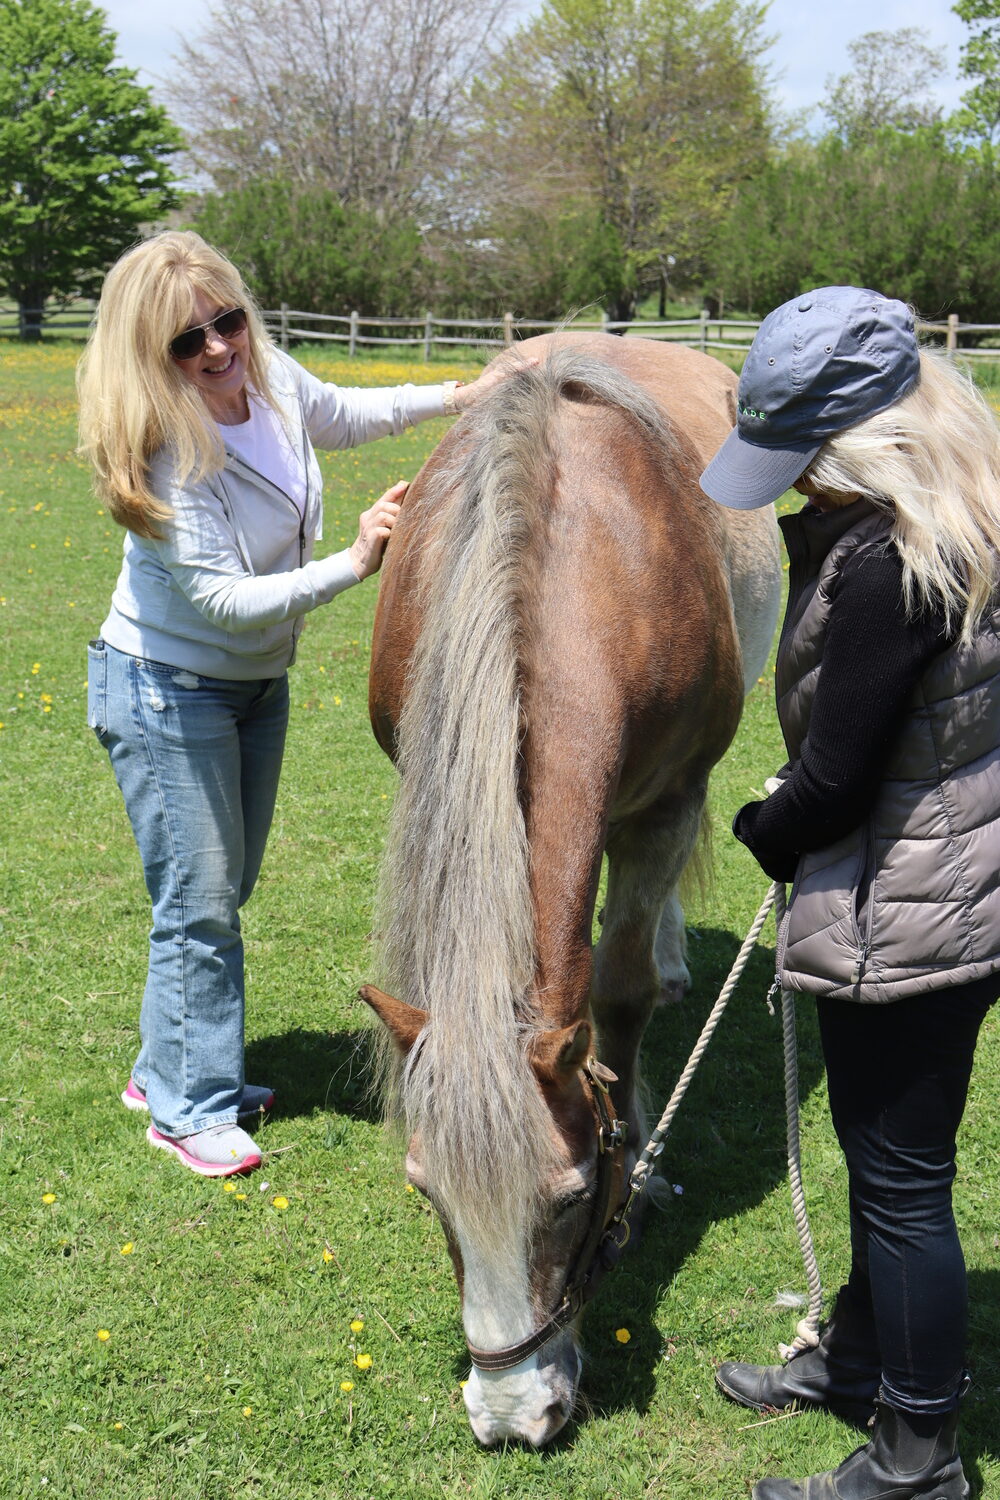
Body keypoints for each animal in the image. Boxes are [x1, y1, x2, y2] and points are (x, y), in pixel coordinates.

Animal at [359, 334, 779, 1446]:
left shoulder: (663, 803)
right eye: (428, 1198)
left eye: (570, 1195)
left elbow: (619, 993)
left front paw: (647, 1153)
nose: (514, 1416)